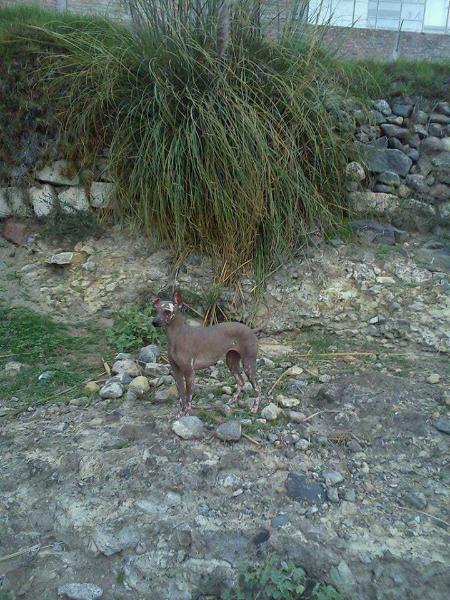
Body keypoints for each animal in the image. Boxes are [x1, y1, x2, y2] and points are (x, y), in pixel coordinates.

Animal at [153, 290, 262, 418]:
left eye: (167, 311)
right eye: (156, 310)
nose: (154, 322)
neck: (177, 336)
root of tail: (250, 330)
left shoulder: (190, 374)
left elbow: (188, 398)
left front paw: (186, 414)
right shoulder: (177, 372)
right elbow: (181, 397)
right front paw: (180, 414)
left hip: (248, 364)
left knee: (257, 388)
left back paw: (254, 408)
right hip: (231, 362)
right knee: (240, 381)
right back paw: (232, 400)